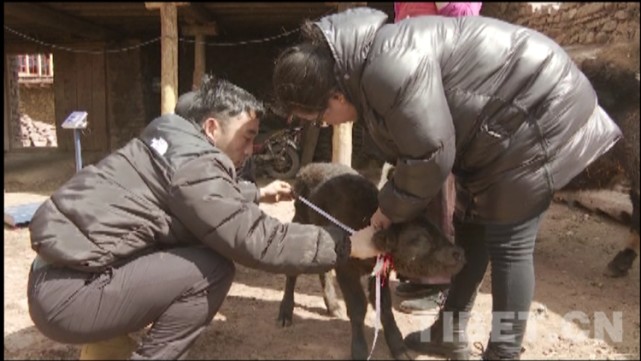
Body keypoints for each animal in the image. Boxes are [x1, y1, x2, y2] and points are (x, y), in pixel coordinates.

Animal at [276, 162, 464, 358]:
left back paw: (333, 307)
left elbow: (384, 307)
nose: (458, 252)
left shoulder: (379, 274)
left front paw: (400, 350)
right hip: (300, 224)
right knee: (292, 273)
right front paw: (360, 351)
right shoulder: (347, 270)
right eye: (420, 239)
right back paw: (285, 315)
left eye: (435, 228)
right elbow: (359, 306)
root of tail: (307, 169)